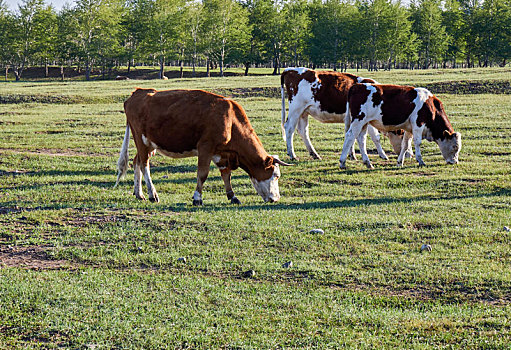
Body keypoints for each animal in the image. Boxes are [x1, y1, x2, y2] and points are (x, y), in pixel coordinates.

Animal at [117, 87, 292, 206]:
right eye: (276, 175)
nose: (276, 199)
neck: (230, 120)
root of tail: (138, 92)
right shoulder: (205, 148)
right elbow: (202, 174)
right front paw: (197, 198)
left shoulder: (221, 154)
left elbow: (226, 175)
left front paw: (232, 196)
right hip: (141, 139)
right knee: (144, 164)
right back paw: (152, 194)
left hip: (148, 144)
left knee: (136, 161)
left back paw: (139, 193)